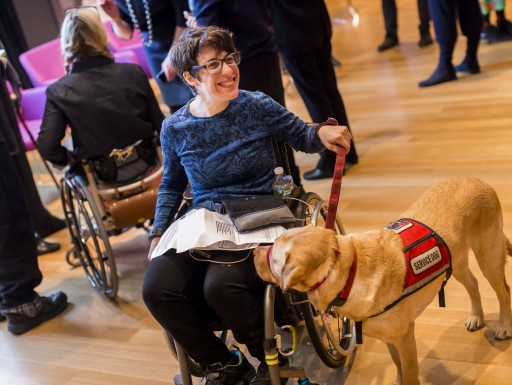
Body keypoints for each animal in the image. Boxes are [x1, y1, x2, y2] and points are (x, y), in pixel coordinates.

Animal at [255, 176, 512, 384]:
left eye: (272, 251)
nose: (254, 250)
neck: (349, 275)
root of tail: (477, 180)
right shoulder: (391, 340)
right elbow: (397, 365)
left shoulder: (405, 337)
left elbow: (410, 374)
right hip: (455, 261)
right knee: (474, 285)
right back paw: (477, 317)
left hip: (488, 256)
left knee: (504, 291)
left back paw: (503, 326)